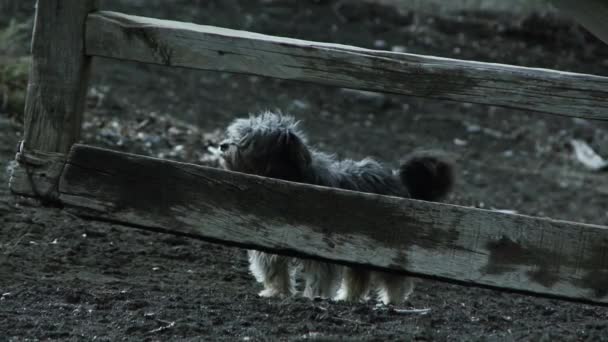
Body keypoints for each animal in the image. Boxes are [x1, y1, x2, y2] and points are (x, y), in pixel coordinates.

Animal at [218, 111, 452, 304]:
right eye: (236, 133)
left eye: (248, 142)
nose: (222, 145)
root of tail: (398, 180)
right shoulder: (269, 242)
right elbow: (275, 271)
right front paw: (277, 293)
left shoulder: (322, 248)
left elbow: (319, 277)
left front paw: (314, 297)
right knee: (359, 276)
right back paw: (348, 298)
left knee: (392, 278)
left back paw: (391, 301)